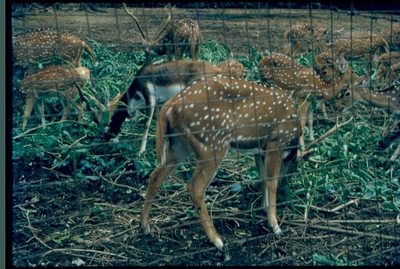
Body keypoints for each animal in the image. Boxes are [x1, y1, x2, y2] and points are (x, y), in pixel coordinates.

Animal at [104, 59, 244, 154]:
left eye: (108, 122)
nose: (106, 141)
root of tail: (217, 70)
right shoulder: (158, 102)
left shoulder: (150, 98)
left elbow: (146, 123)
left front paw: (141, 151)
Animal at [139, 74, 318, 248]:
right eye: (295, 167)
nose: (285, 184)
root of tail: (170, 106)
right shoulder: (276, 141)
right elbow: (271, 181)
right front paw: (275, 225)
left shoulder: (260, 149)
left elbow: (263, 178)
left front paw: (265, 208)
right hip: (212, 144)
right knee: (195, 187)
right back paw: (217, 240)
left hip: (179, 144)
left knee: (155, 175)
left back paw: (145, 226)